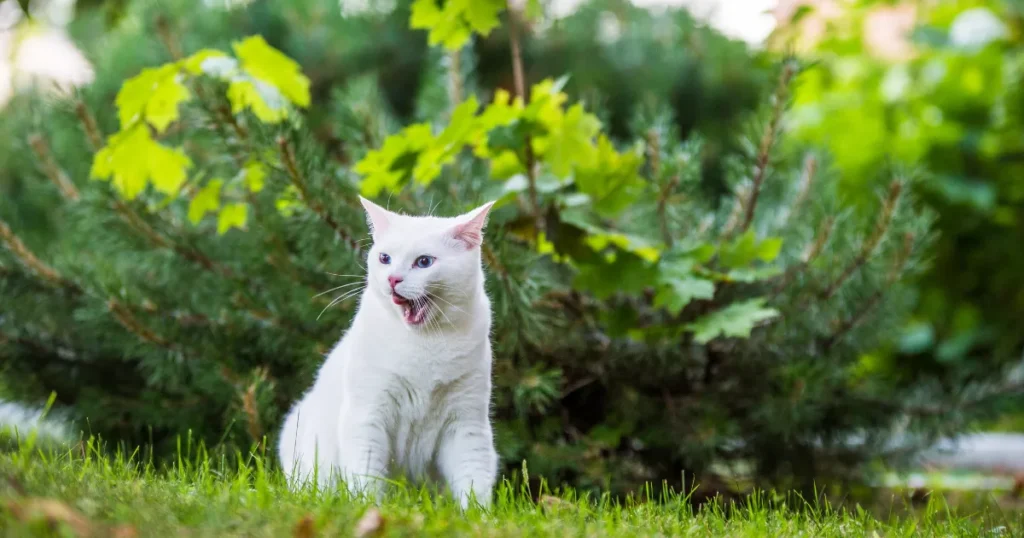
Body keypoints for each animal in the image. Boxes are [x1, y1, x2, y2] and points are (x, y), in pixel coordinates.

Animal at [278, 194, 501, 506]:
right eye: (385, 258)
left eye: (424, 262)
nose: (393, 279)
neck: (426, 341)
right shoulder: (367, 415)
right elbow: (367, 476)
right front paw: (369, 508)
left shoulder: (466, 423)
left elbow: (473, 479)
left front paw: (477, 514)